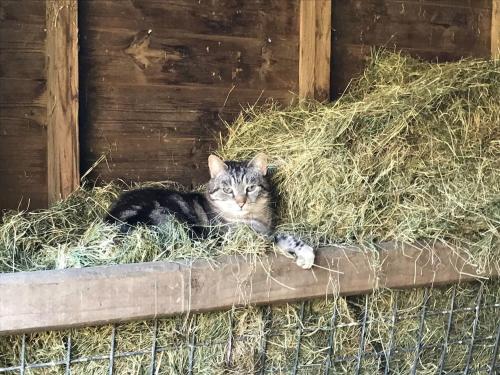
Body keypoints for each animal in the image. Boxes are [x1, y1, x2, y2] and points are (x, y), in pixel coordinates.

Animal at [104, 153, 316, 270]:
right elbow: (278, 238)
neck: (256, 219)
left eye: (250, 188)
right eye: (227, 189)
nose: (241, 202)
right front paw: (306, 254)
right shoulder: (237, 238)